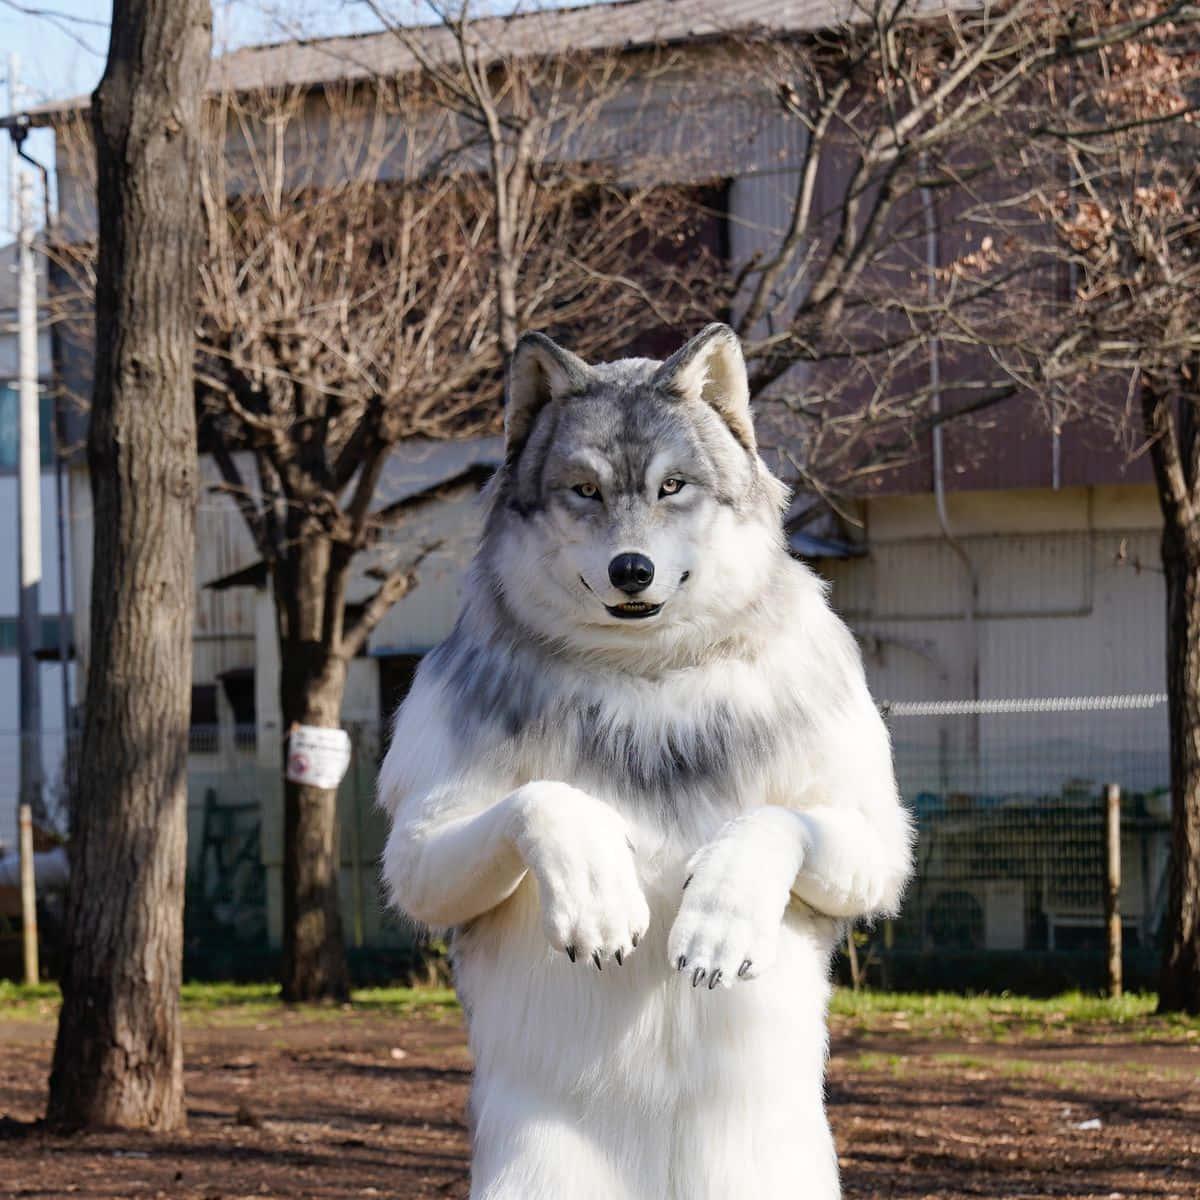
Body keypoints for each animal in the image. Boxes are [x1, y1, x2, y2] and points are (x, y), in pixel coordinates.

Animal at [378, 323, 913, 1200]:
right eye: (584, 491)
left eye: (672, 487)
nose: (632, 569)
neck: (645, 676)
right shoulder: (422, 850)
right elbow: (544, 801)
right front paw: (599, 897)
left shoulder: (870, 839)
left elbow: (775, 824)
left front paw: (717, 922)